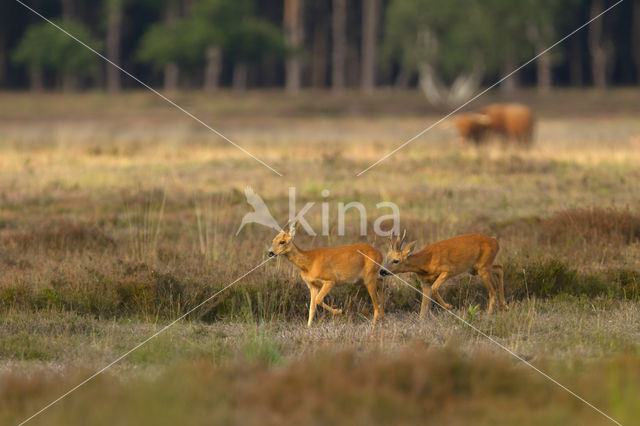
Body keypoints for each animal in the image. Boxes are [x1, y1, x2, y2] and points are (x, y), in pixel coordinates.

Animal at [378, 231, 508, 318]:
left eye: (396, 260)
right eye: (386, 257)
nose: (382, 271)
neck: (426, 262)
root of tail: (495, 241)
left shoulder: (448, 270)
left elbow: (435, 288)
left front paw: (449, 306)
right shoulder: (425, 282)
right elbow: (423, 309)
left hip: (483, 267)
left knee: (493, 288)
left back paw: (489, 313)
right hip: (478, 268)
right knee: (500, 268)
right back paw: (504, 306)